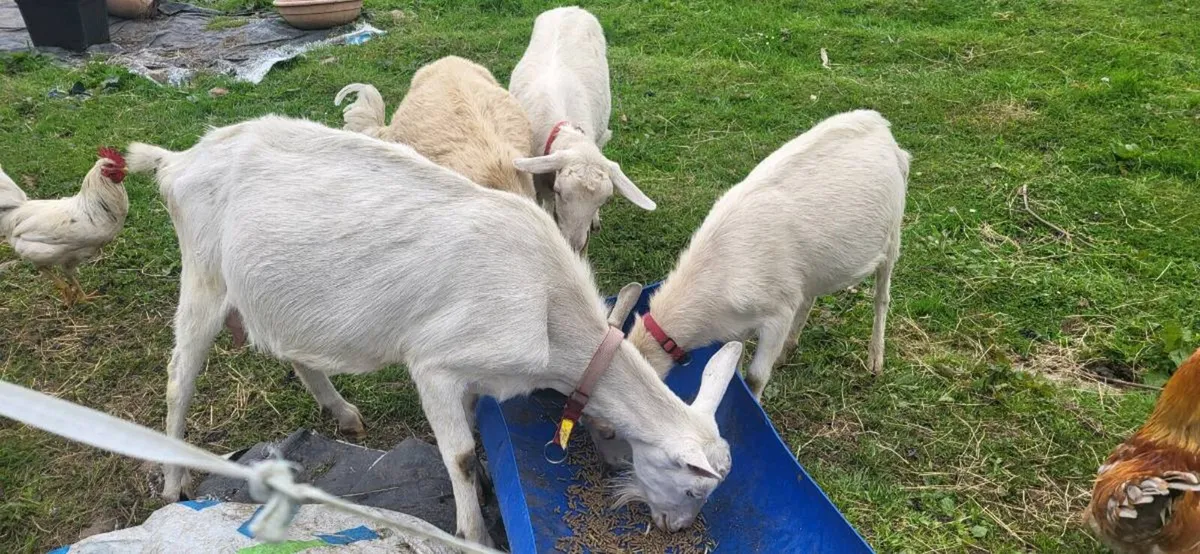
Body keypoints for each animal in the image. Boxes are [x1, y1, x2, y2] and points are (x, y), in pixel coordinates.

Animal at [125, 115, 739, 544]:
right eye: (692, 485)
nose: (677, 528)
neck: (550, 311)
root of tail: (176, 161)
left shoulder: (472, 375)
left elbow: (470, 431)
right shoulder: (435, 364)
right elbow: (460, 454)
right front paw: (475, 531)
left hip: (278, 295)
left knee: (293, 349)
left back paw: (340, 412)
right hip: (203, 275)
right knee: (180, 376)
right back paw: (174, 483)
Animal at [509, 6, 656, 252]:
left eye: (605, 200)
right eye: (559, 190)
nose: (576, 244)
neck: (566, 129)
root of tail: (569, 8)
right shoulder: (540, 177)